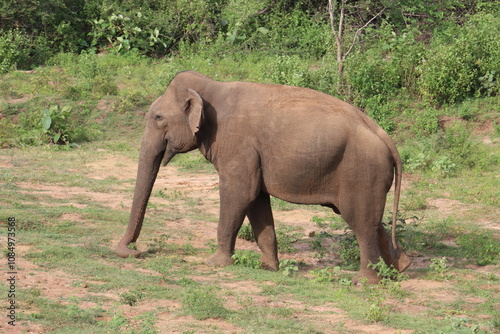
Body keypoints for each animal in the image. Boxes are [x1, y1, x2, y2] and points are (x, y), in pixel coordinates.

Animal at [116, 71, 410, 284]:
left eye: (157, 117)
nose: (133, 251)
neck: (212, 87)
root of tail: (386, 137)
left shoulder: (237, 146)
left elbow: (239, 194)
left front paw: (215, 263)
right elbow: (256, 200)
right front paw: (268, 268)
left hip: (361, 171)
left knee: (361, 222)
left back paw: (364, 282)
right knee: (372, 220)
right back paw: (400, 268)